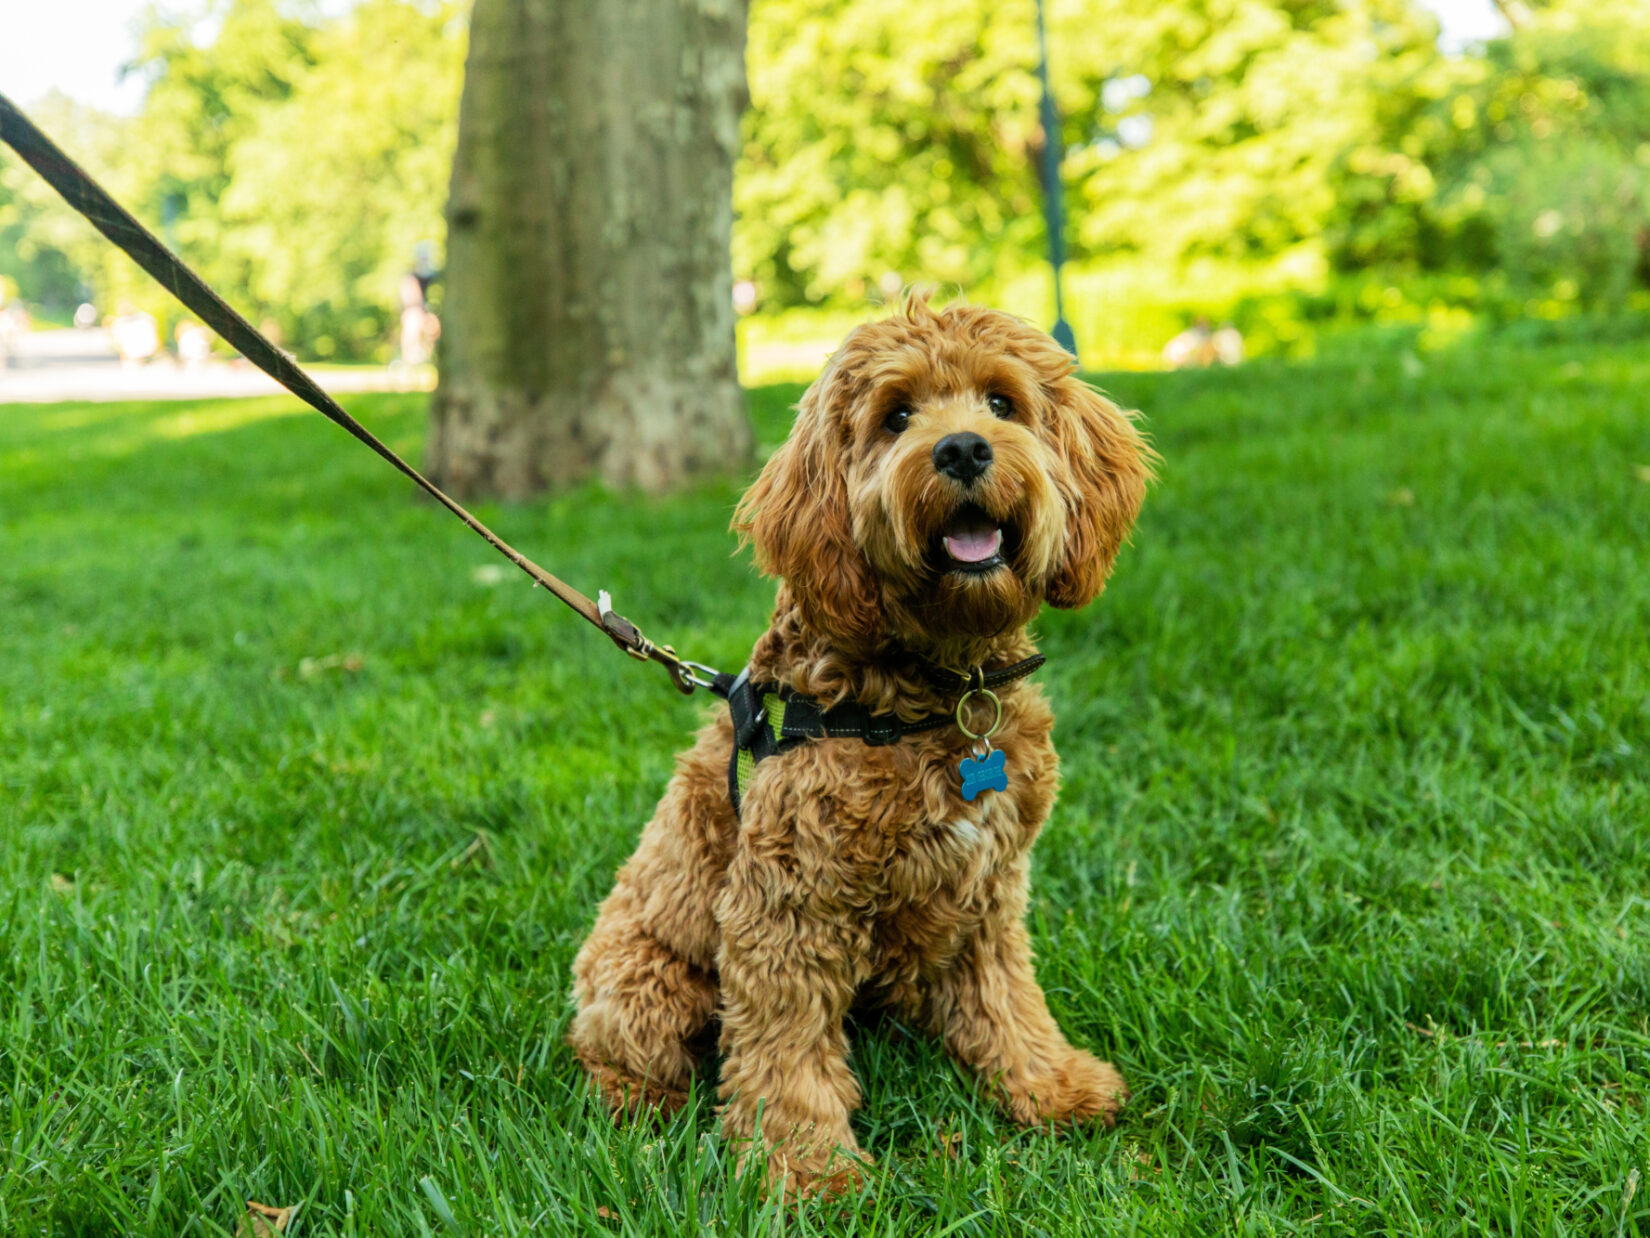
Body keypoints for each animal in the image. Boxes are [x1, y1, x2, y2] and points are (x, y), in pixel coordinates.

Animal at [567, 295, 1148, 1195]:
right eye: (896, 416)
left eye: (1003, 402)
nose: (962, 447)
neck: (931, 692)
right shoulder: (786, 907)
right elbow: (785, 1050)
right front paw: (805, 1170)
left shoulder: (990, 890)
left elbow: (1008, 998)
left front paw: (1047, 1084)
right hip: (643, 983)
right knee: (622, 1057)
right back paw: (644, 1107)